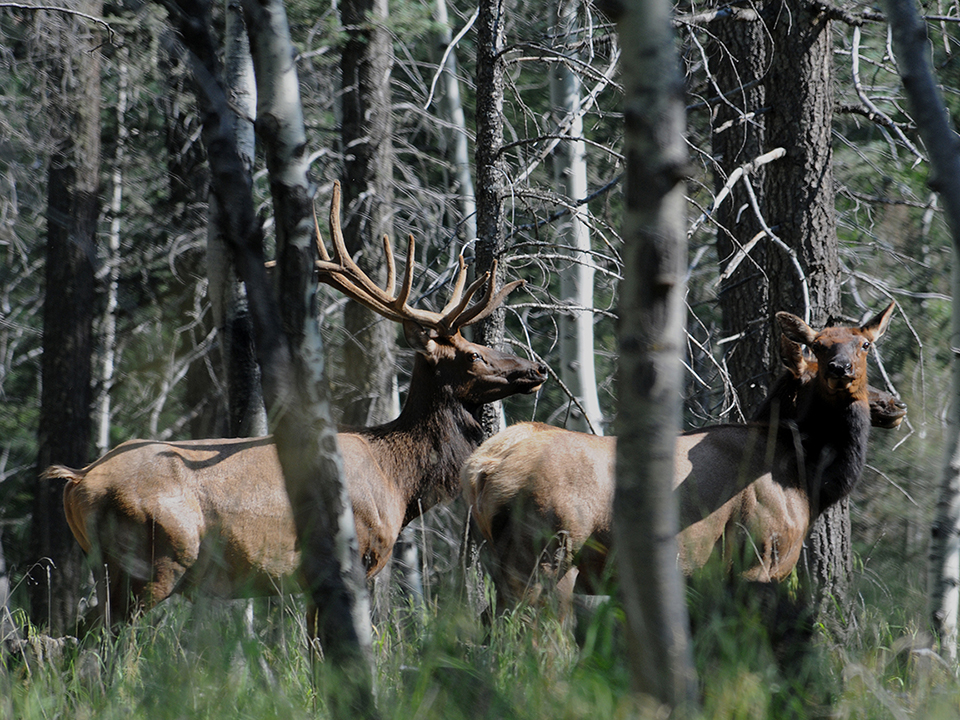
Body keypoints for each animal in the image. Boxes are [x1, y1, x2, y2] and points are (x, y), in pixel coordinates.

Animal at [54, 186, 548, 632]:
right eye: (473, 354)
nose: (537, 367)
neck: (399, 480)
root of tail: (78, 481)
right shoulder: (357, 556)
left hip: (112, 568)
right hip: (152, 561)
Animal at [464, 302, 900, 608]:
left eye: (865, 344)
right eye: (820, 348)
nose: (893, 403)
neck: (808, 475)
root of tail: (483, 469)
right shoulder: (761, 559)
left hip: (501, 557)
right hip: (546, 553)